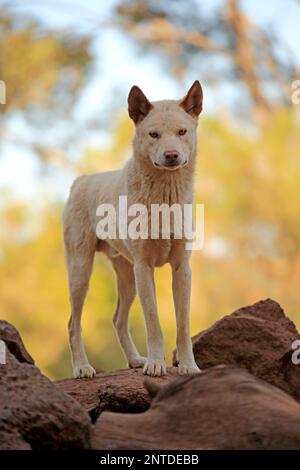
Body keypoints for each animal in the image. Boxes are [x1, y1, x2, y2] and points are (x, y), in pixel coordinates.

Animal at [63, 81, 204, 378]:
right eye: (154, 134)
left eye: (182, 132)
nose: (171, 155)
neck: (165, 200)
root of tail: (81, 180)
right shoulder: (144, 267)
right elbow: (153, 321)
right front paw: (156, 365)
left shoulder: (181, 268)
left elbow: (183, 325)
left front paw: (188, 366)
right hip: (82, 271)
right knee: (73, 323)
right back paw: (82, 367)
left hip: (127, 276)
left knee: (117, 319)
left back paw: (134, 359)